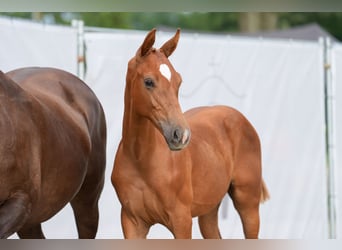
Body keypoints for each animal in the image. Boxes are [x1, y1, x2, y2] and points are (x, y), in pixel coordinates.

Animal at [111, 28, 268, 239]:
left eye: (178, 81)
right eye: (149, 81)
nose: (181, 135)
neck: (141, 161)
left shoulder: (181, 221)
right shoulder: (132, 223)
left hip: (248, 204)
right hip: (209, 210)